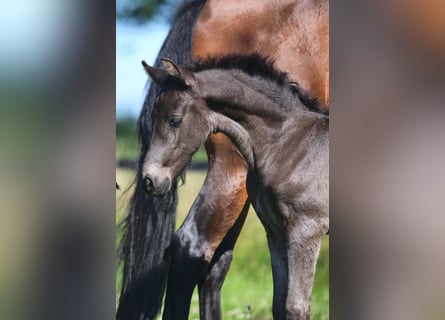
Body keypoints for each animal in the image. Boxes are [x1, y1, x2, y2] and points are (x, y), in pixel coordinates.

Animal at [116, 0, 328, 320]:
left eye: (175, 119)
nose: (150, 179)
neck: (291, 139)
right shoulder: (278, 230)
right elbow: (282, 304)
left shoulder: (306, 230)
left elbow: (294, 306)